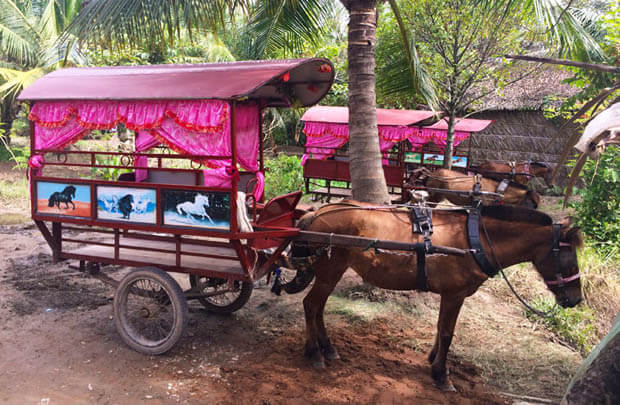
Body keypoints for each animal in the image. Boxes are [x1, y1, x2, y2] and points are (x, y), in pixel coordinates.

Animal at [284, 204, 584, 390]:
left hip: (331, 272)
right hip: (330, 271)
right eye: (570, 259)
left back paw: (327, 348)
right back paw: (314, 353)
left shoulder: (449, 295)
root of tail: (315, 213)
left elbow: (441, 328)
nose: (576, 300)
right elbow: (448, 333)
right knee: (311, 305)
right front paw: (442, 375)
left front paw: (432, 360)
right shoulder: (455, 294)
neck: (475, 239)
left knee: (318, 308)